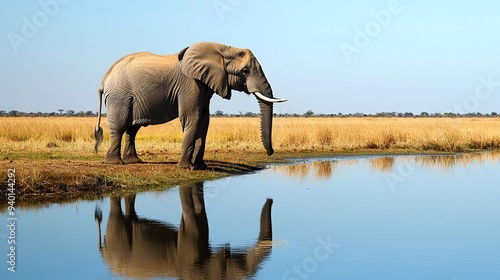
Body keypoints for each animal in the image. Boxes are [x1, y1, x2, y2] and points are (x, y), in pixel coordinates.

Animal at [95, 41, 288, 168]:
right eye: (245, 71)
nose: (270, 153)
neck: (222, 49)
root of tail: (104, 78)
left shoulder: (204, 85)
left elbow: (204, 121)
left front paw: (201, 166)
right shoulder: (190, 84)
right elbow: (192, 118)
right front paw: (186, 167)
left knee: (133, 128)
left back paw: (134, 161)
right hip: (120, 97)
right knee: (120, 126)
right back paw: (116, 163)